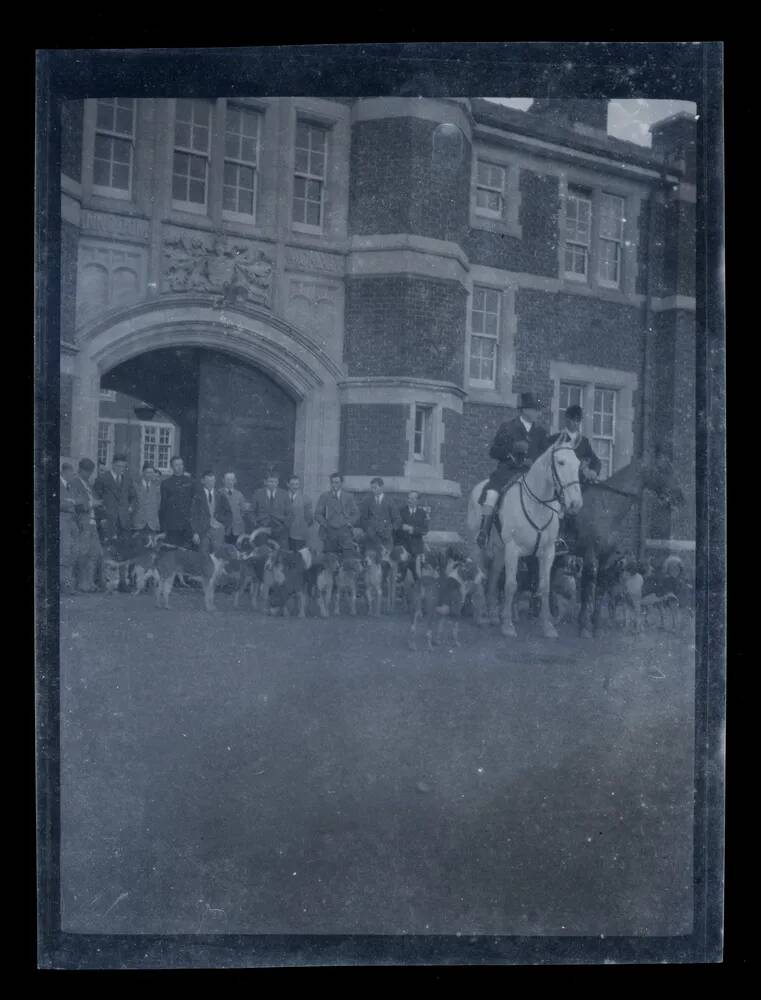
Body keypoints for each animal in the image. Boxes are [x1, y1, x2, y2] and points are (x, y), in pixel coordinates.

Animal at [464, 432, 580, 636]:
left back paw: (492, 615)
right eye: (561, 462)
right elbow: (511, 585)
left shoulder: (548, 552)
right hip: (478, 548)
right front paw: (508, 625)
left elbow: (544, 586)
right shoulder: (513, 549)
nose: (576, 503)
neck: (538, 505)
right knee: (481, 576)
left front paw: (547, 626)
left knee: (493, 577)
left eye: (579, 464)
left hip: (500, 552)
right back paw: (481, 616)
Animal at [568, 456, 684, 636]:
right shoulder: (590, 555)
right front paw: (584, 627)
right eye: (663, 469)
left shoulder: (605, 558)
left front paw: (596, 626)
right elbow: (587, 591)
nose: (680, 496)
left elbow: (599, 589)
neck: (606, 507)